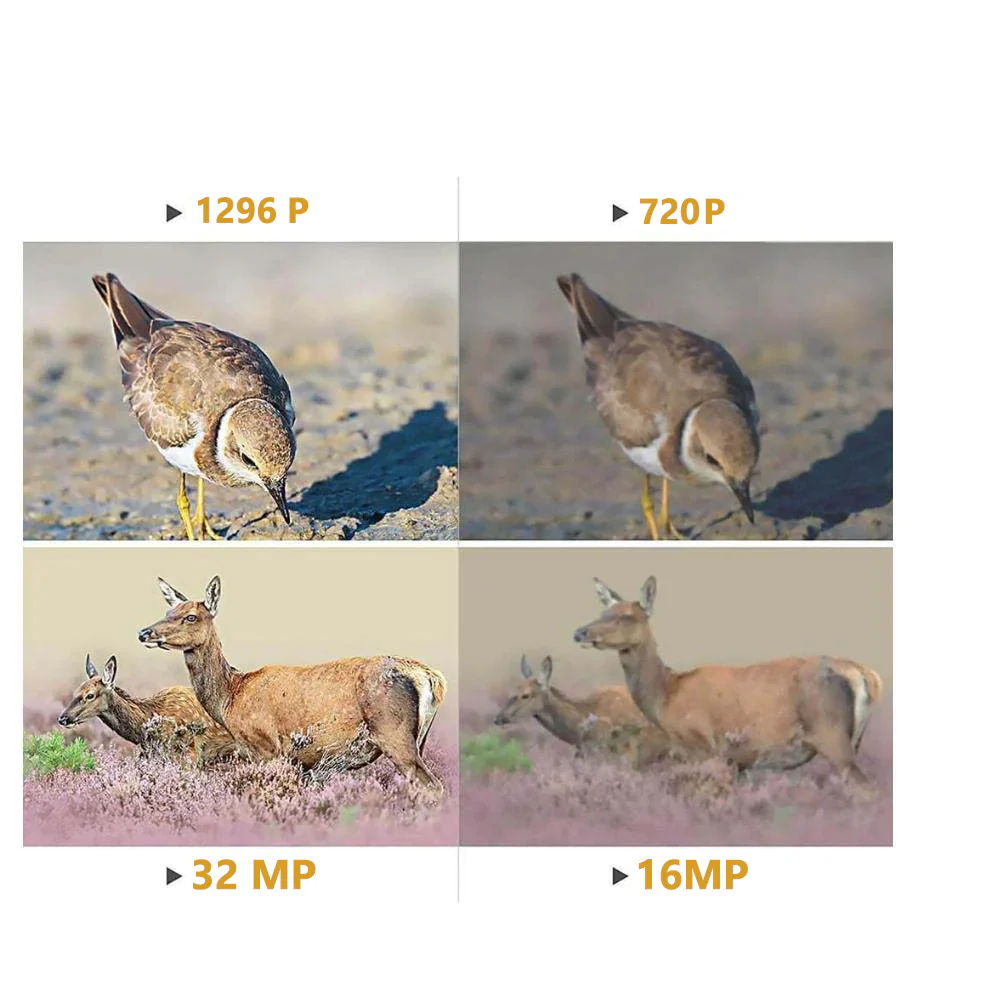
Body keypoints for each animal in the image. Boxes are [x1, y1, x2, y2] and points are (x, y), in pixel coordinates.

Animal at [137, 576, 448, 801]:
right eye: (168, 610)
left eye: (191, 616)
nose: (144, 632)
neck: (230, 698)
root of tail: (430, 677)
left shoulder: (266, 747)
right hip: (418, 738)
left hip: (394, 734)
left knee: (434, 787)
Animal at [572, 576, 884, 789]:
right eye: (602, 612)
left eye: (626, 616)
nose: (580, 632)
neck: (666, 698)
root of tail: (862, 674)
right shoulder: (739, 761)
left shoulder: (701, 747)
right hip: (851, 741)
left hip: (832, 736)